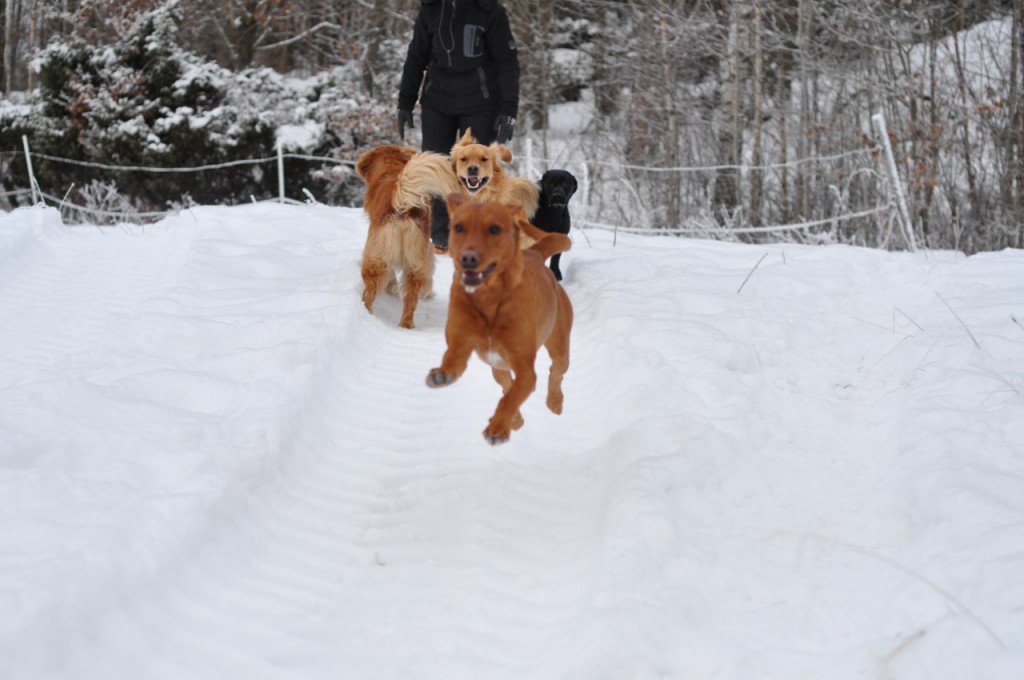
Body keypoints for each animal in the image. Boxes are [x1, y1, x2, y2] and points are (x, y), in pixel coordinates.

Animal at [356, 144, 460, 327]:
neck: (390, 169)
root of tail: (403, 205)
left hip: (376, 258)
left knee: (369, 292)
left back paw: (367, 314)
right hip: (417, 264)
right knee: (411, 298)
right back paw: (406, 325)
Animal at [421, 192, 573, 446]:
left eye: (494, 229)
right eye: (459, 227)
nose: (468, 258)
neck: (489, 299)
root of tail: (533, 253)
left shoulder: (525, 367)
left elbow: (511, 397)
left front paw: (498, 428)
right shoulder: (460, 340)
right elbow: (454, 359)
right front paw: (442, 373)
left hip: (559, 343)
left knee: (556, 372)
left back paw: (555, 402)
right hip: (497, 366)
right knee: (506, 383)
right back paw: (517, 420)